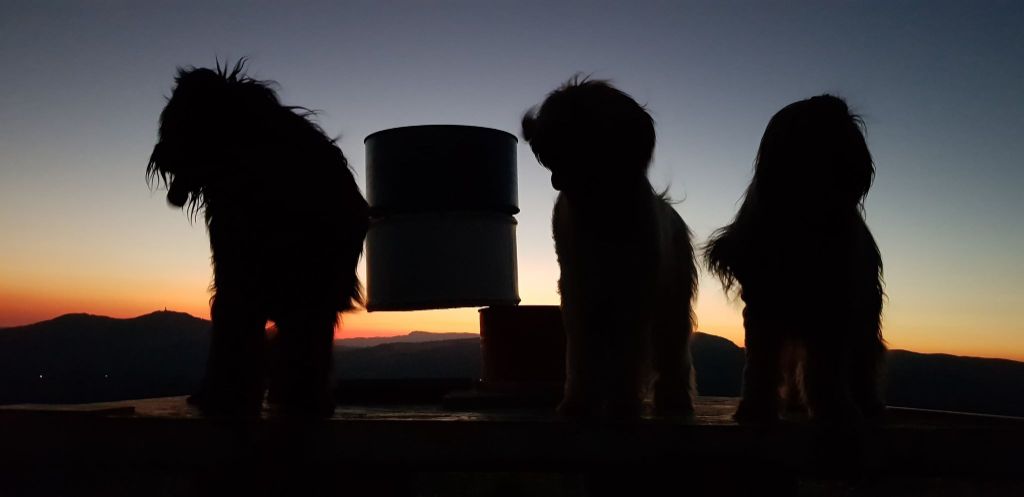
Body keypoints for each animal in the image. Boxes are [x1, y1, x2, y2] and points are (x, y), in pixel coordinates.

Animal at [144, 63, 368, 418]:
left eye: (183, 119)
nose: (159, 156)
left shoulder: (313, 290)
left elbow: (304, 345)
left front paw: (305, 398)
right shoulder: (238, 277)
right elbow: (237, 334)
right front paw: (228, 394)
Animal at [524, 78, 700, 418]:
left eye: (579, 116)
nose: (531, 128)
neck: (602, 208)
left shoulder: (635, 292)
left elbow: (627, 355)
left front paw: (622, 404)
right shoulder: (580, 289)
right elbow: (582, 353)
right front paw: (578, 403)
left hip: (671, 297)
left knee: (671, 350)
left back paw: (674, 400)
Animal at [704, 93, 888, 422]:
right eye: (809, 125)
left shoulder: (832, 306)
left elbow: (826, 367)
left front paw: (835, 408)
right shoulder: (764, 306)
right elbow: (762, 363)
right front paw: (756, 407)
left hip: (863, 313)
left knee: (860, 361)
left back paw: (867, 402)